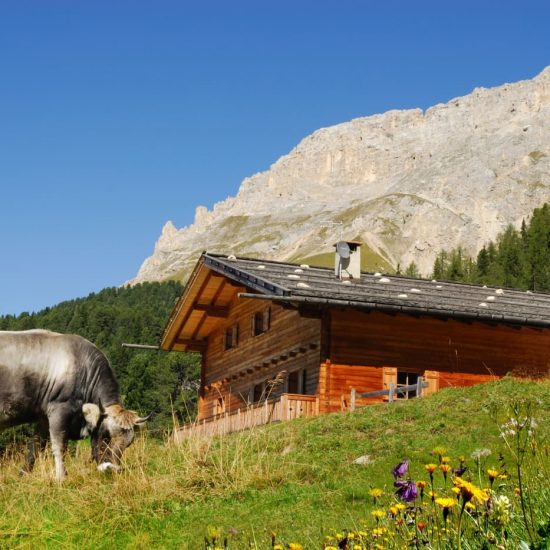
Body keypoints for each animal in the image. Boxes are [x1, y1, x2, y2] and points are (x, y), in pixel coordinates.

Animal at [0, 330, 149, 480]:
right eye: (106, 436)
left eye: (128, 444)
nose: (111, 470)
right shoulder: (59, 408)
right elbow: (59, 445)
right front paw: (61, 477)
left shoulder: (43, 416)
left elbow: (36, 446)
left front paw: (23, 475)